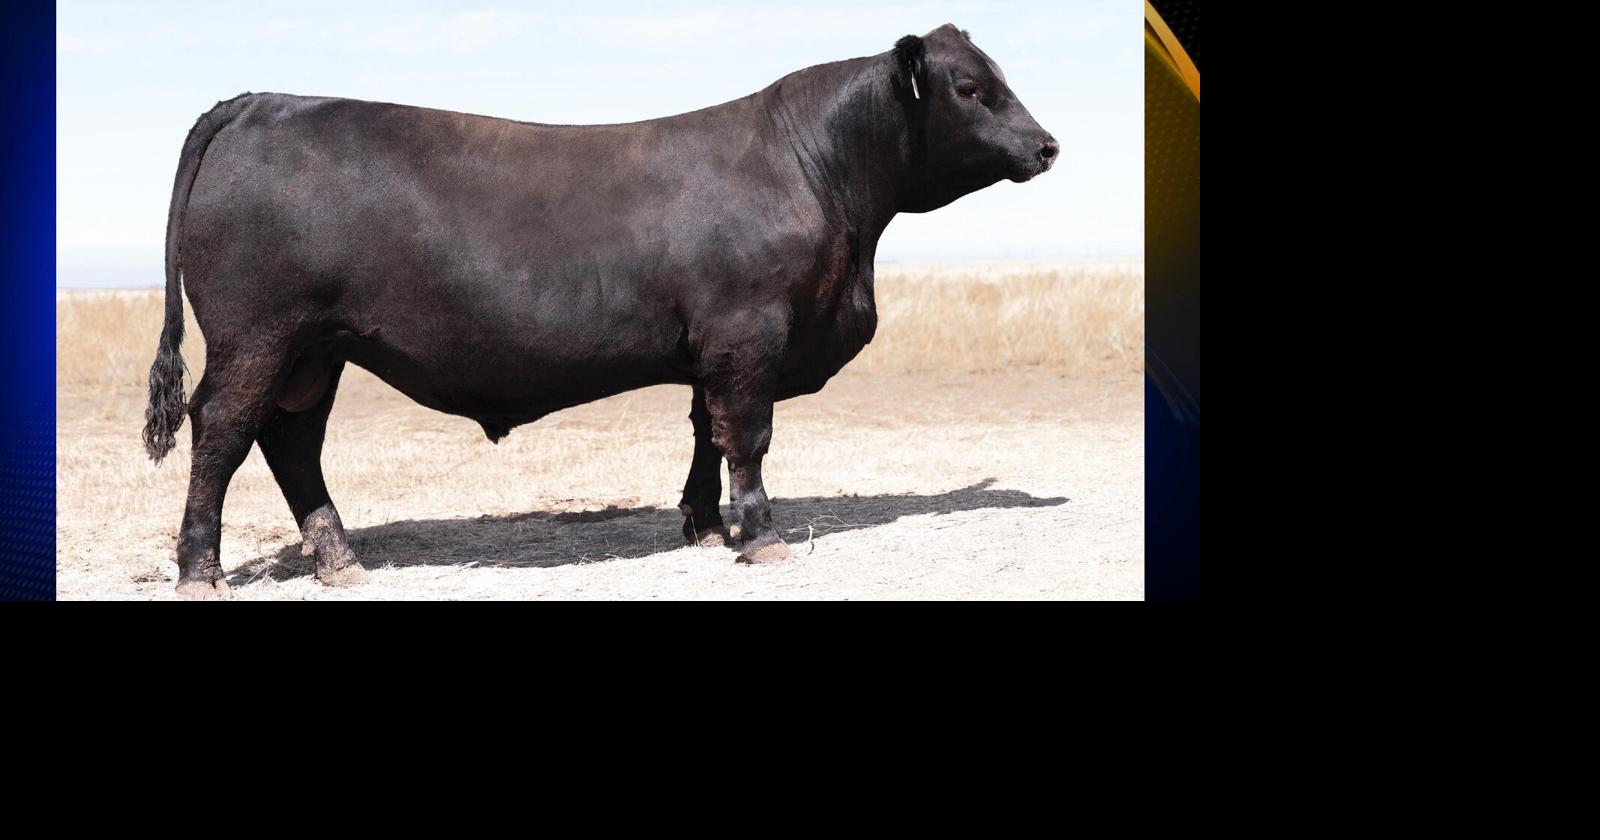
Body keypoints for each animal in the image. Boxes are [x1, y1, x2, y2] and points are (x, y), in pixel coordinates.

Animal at [143, 23, 1058, 599]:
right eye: (970, 88)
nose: (1048, 145)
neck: (822, 178)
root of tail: (261, 100)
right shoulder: (750, 337)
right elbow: (748, 437)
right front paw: (759, 537)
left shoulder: (709, 349)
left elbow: (704, 433)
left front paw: (702, 526)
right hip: (259, 334)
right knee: (222, 430)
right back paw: (200, 572)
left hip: (314, 350)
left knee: (291, 439)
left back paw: (340, 560)